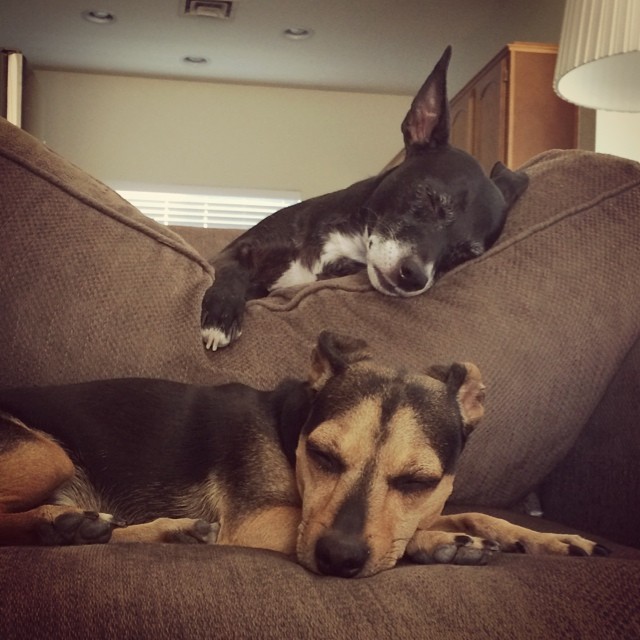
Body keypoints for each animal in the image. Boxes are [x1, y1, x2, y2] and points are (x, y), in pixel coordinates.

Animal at [0, 332, 608, 576]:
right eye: (323, 456)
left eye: (416, 481)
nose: (338, 560)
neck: (288, 430)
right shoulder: (260, 524)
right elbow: (412, 537)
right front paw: (441, 545)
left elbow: (472, 513)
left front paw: (548, 538)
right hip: (45, 453)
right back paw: (63, 525)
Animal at [201, 48, 528, 352]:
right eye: (428, 198)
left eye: (464, 255)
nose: (414, 278)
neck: (345, 242)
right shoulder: (233, 252)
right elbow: (230, 273)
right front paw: (221, 316)